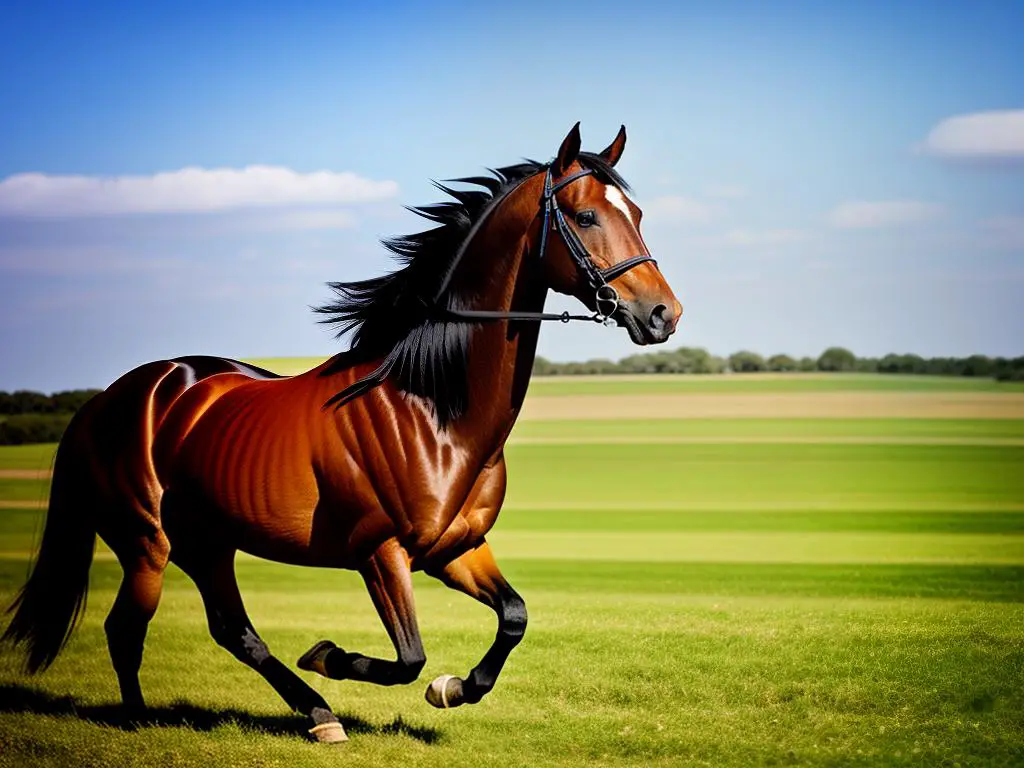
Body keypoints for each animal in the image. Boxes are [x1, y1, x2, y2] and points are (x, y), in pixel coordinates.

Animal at [8, 123, 684, 741]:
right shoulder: (379, 553)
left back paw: (317, 715)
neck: (432, 409)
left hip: (208, 543)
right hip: (147, 544)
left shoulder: (457, 549)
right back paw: (144, 717)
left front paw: (453, 688)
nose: (663, 314)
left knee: (233, 631)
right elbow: (408, 658)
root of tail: (110, 399)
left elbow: (512, 618)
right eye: (586, 215)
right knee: (127, 628)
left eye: (637, 213)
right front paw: (329, 655)